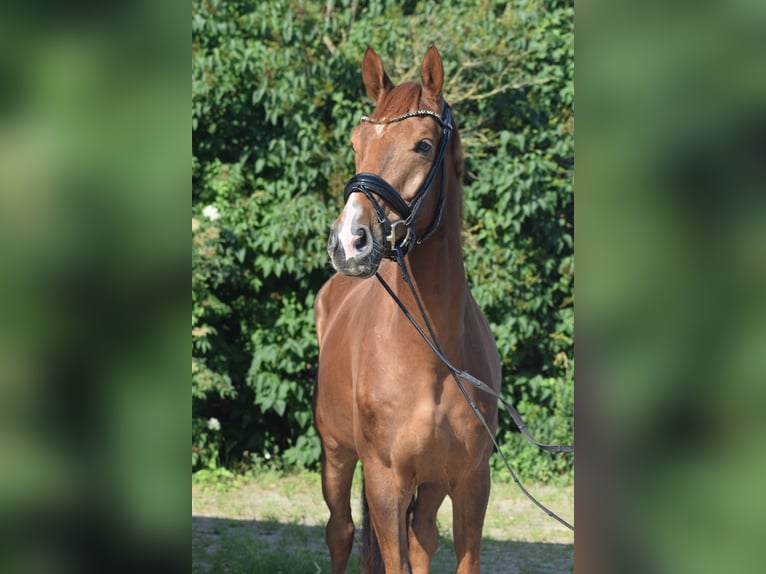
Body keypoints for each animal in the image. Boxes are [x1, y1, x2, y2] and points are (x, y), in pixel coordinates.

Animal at [313, 45, 501, 574]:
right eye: (356, 142)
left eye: (422, 144)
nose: (348, 241)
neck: (432, 357)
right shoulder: (385, 482)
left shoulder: (471, 484)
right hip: (336, 455)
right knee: (341, 532)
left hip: (432, 483)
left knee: (421, 539)